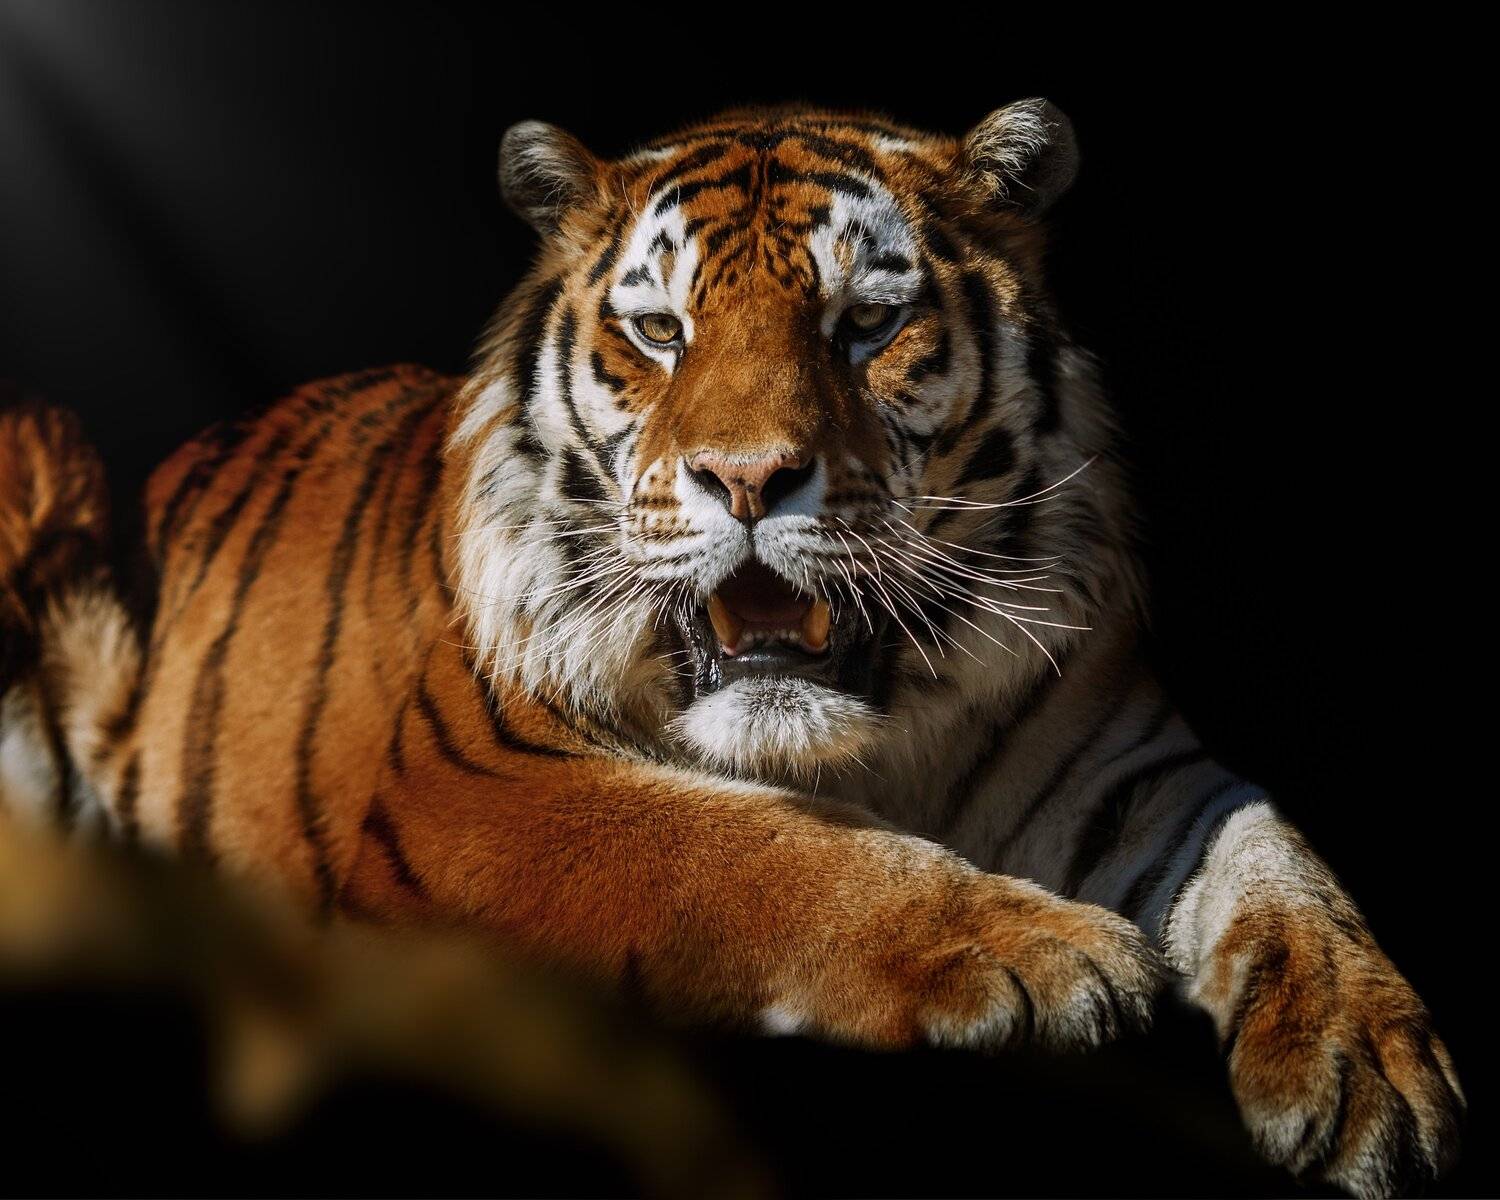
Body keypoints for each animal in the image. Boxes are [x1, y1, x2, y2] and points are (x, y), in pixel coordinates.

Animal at [0, 99, 1462, 1197]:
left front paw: (1369, 1068)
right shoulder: (471, 785)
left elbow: (1279, 865)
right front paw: (1045, 955)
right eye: (660, 330)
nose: (750, 478)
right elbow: (742, 848)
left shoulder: (1130, 762)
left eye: (866, 323)